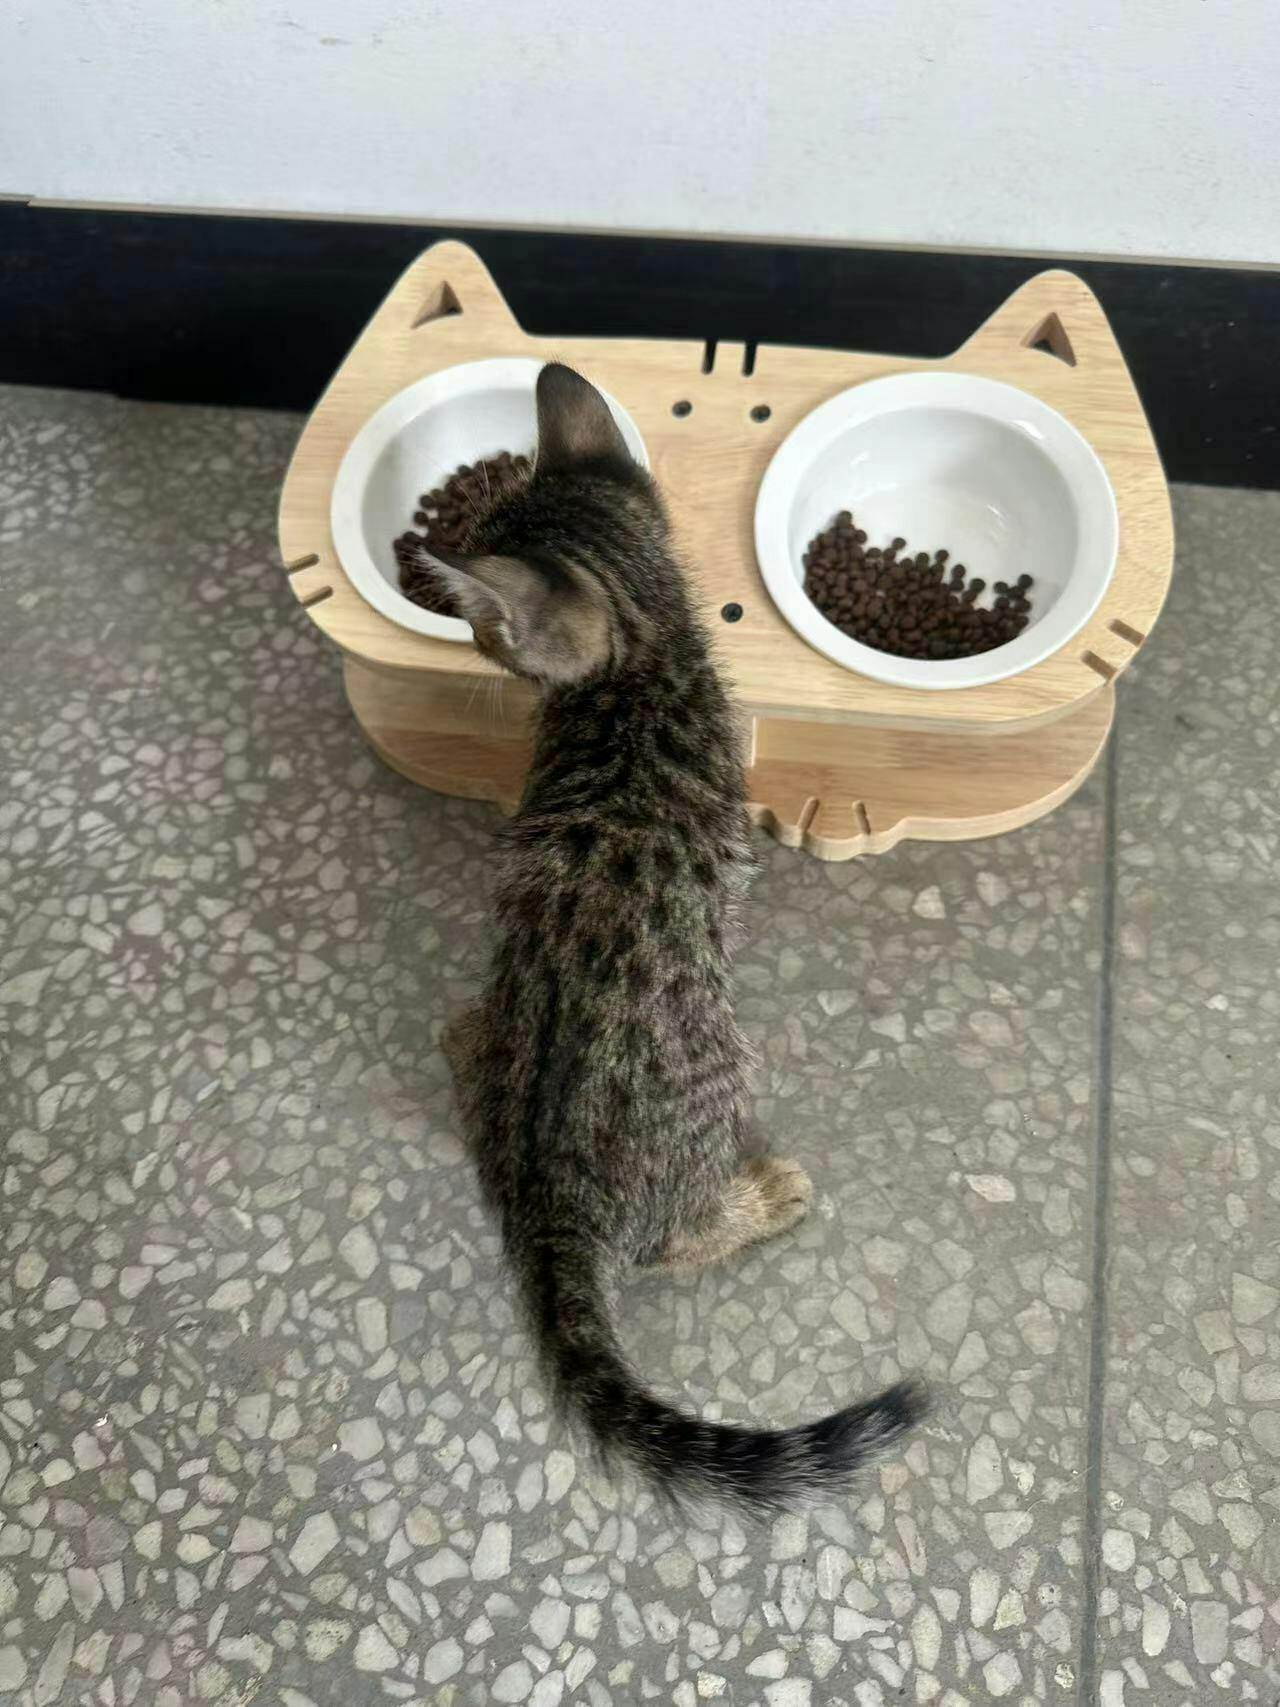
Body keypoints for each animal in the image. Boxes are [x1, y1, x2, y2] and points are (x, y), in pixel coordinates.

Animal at [409, 363, 925, 1509]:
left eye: (485, 627)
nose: (469, 639)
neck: (645, 654)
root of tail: (545, 1185)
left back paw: (459, 1034)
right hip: (722, 1067)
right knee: (660, 1248)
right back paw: (761, 1197)